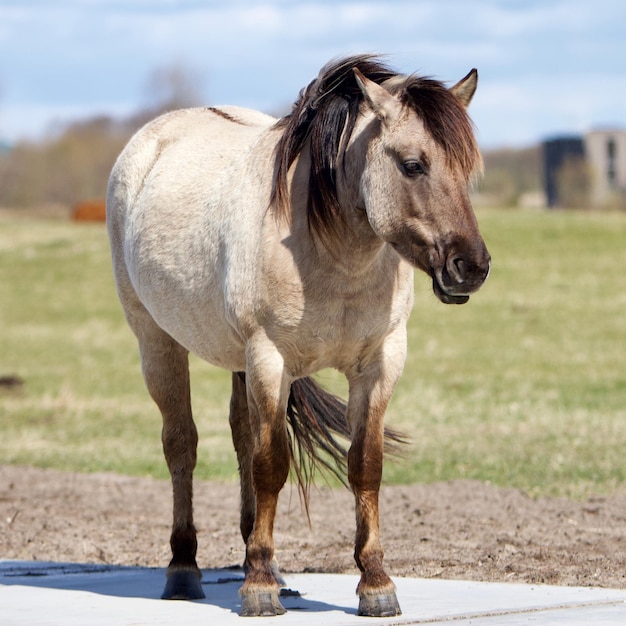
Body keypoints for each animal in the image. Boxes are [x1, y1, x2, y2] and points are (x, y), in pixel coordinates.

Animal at [106, 52, 488, 616]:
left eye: (467, 169)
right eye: (413, 164)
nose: (471, 267)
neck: (332, 252)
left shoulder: (379, 364)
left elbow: (364, 465)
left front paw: (375, 583)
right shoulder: (270, 359)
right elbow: (271, 465)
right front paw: (259, 588)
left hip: (237, 362)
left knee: (241, 436)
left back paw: (258, 557)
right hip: (158, 342)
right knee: (181, 445)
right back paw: (184, 569)